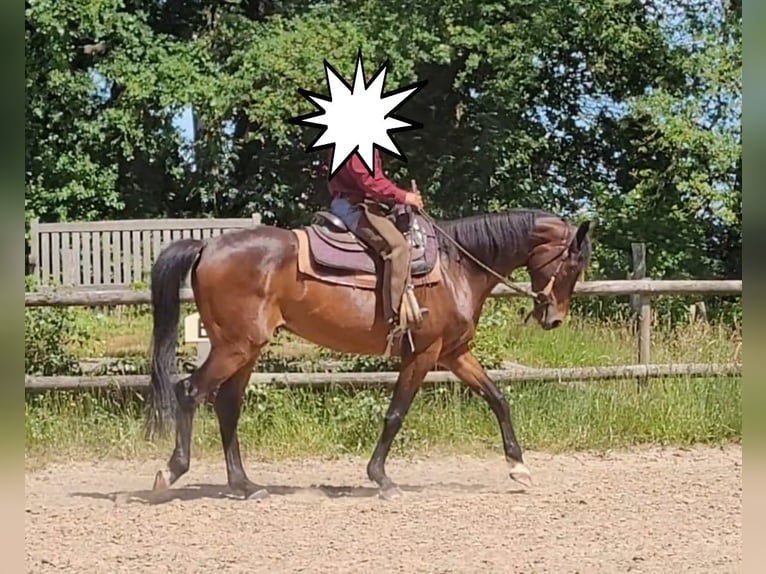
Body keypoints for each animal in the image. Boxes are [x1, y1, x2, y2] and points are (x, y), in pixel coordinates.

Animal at [144, 206, 592, 500]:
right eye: (573, 265)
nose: (555, 318)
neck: (456, 267)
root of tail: (207, 246)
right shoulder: (423, 354)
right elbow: (396, 414)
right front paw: (381, 478)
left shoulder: (455, 353)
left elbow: (498, 398)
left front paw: (519, 467)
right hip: (235, 348)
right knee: (190, 392)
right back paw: (171, 472)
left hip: (246, 349)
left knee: (226, 405)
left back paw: (245, 485)